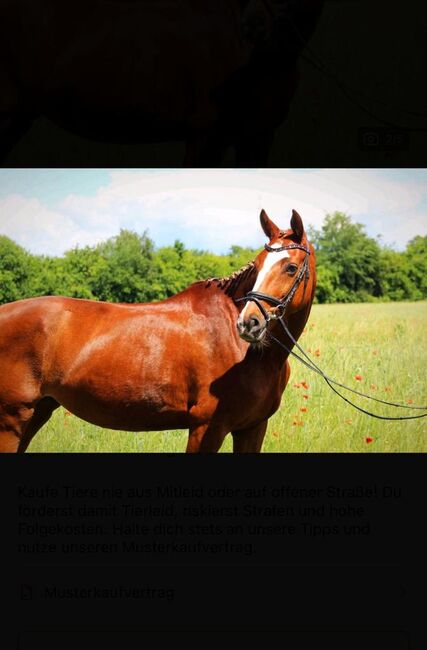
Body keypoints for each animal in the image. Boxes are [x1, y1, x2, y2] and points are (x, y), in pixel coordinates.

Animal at [0, 209, 314, 450]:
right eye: (259, 265)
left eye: (290, 268)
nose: (248, 323)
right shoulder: (207, 427)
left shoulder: (253, 428)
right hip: (11, 421)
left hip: (38, 411)